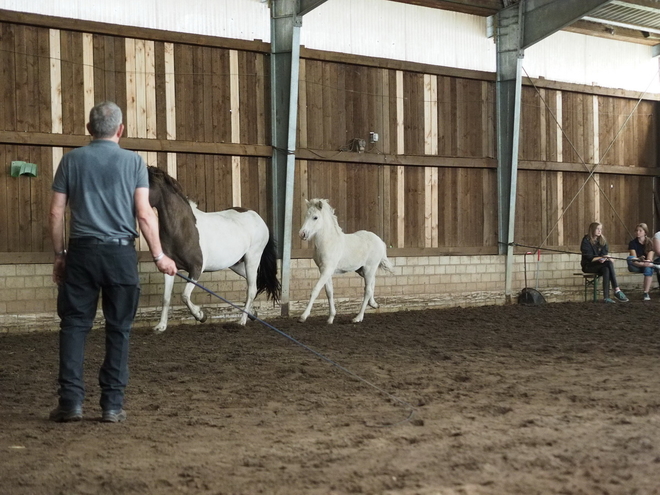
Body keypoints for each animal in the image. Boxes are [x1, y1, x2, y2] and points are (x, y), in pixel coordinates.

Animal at [148, 167, 280, 334]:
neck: (183, 228)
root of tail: (258, 218)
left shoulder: (196, 269)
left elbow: (185, 296)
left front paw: (201, 315)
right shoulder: (169, 269)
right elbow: (166, 298)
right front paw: (161, 326)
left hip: (252, 258)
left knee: (251, 288)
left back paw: (241, 321)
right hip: (236, 264)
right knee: (254, 283)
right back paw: (252, 313)